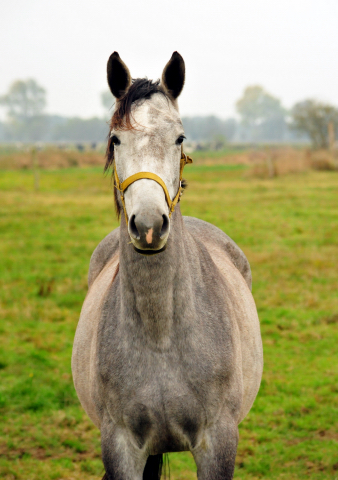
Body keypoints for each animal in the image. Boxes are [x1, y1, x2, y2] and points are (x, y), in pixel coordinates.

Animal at [70, 51, 262, 480]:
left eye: (180, 138)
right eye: (115, 139)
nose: (149, 225)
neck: (161, 334)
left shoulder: (218, 443)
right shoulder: (121, 447)